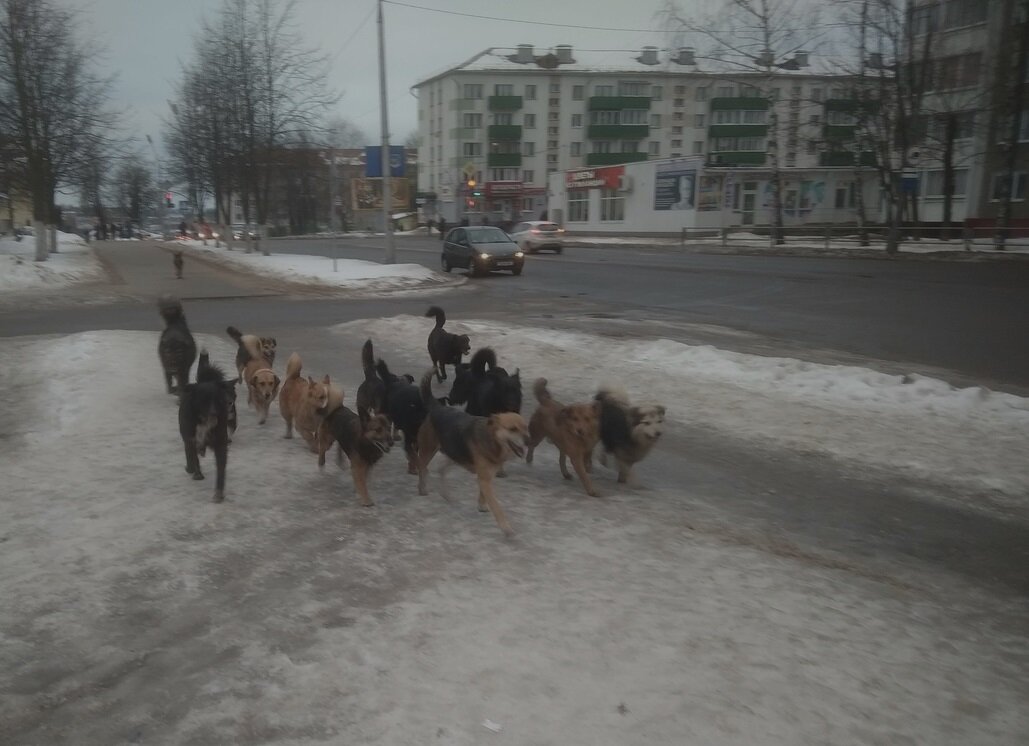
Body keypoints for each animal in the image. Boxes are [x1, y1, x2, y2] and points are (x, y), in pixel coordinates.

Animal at [182, 349, 237, 500]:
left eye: (218, 398)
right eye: (204, 399)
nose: (214, 413)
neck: (204, 420)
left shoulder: (220, 441)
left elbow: (221, 467)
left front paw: (219, 492)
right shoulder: (191, 437)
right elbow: (193, 457)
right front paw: (197, 473)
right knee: (190, 452)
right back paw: (191, 467)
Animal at [417, 370, 530, 535]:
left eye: (526, 427)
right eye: (512, 429)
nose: (528, 440)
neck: (492, 440)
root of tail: (437, 407)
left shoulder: (486, 476)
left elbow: (483, 494)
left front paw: (481, 506)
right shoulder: (484, 479)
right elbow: (497, 507)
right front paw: (506, 527)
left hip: (454, 453)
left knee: (441, 469)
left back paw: (446, 495)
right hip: (428, 450)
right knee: (422, 467)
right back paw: (422, 488)